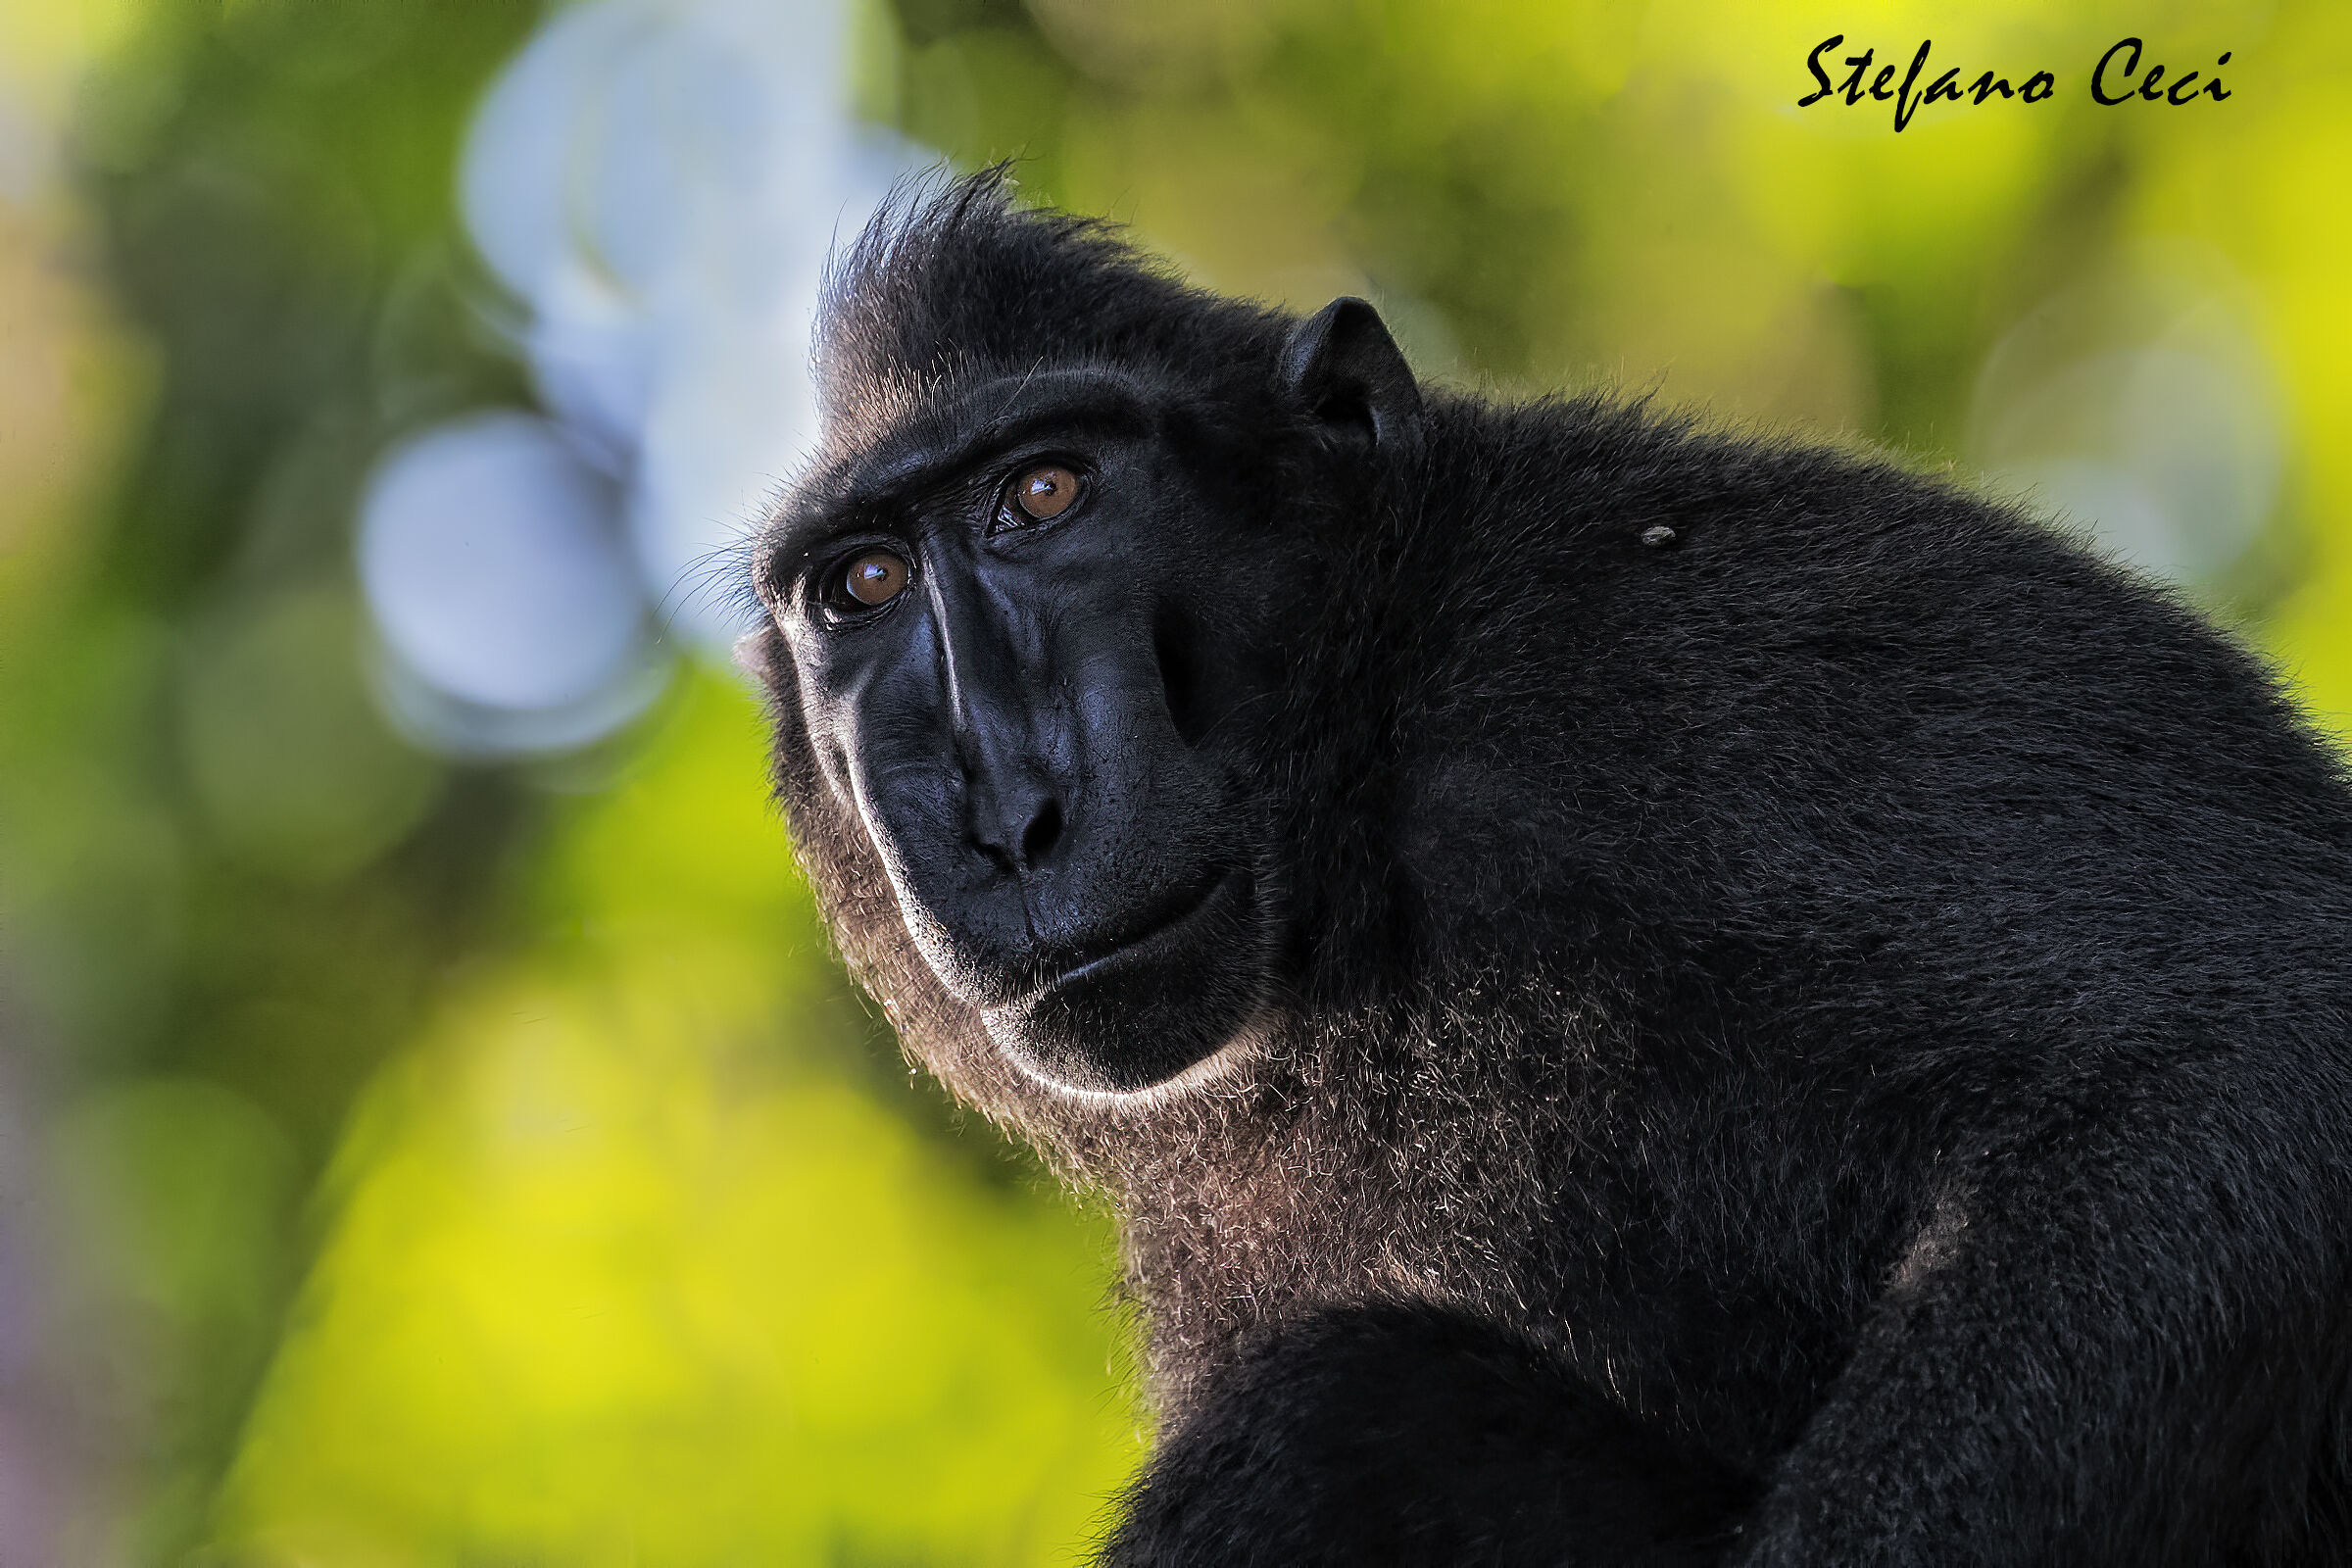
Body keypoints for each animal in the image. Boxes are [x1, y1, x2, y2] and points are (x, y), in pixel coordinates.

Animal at [740, 171, 2352, 1566]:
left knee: (1351, 1414)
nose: (1008, 809)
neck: (1363, 764)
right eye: (862, 586)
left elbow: (2230, 1061)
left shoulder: (1656, 660)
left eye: (1048, 494)